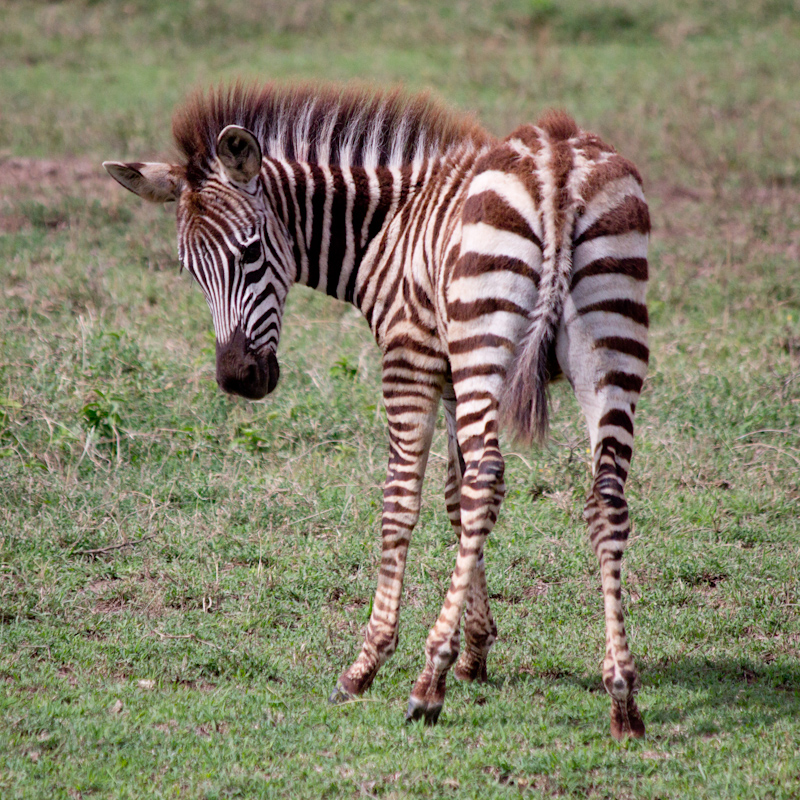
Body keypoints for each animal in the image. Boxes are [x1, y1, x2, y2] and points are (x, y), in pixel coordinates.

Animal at [104, 81, 648, 736]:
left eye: (253, 251)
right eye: (190, 269)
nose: (238, 380)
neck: (388, 223)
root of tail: (557, 168)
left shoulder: (412, 355)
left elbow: (406, 502)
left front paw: (376, 661)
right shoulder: (450, 374)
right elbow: (456, 499)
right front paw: (476, 648)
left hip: (492, 339)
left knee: (485, 482)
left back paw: (426, 683)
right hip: (608, 340)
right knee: (603, 497)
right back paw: (622, 695)